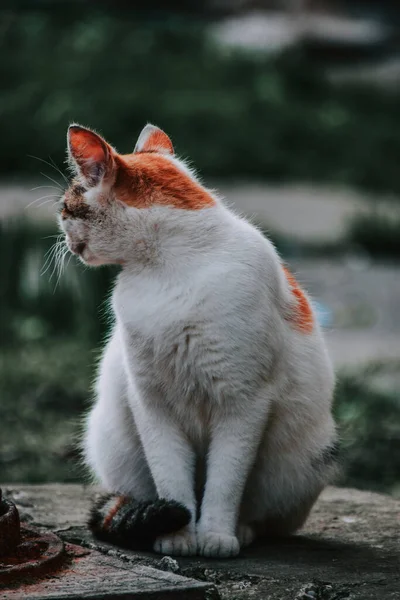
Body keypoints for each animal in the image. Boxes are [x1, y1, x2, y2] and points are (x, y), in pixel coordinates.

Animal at [59, 122, 338, 556]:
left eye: (65, 209)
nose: (65, 241)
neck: (169, 268)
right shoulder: (151, 402)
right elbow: (172, 479)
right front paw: (177, 536)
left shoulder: (243, 403)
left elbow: (225, 483)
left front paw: (216, 535)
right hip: (110, 439)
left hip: (308, 458)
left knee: (261, 513)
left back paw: (241, 530)